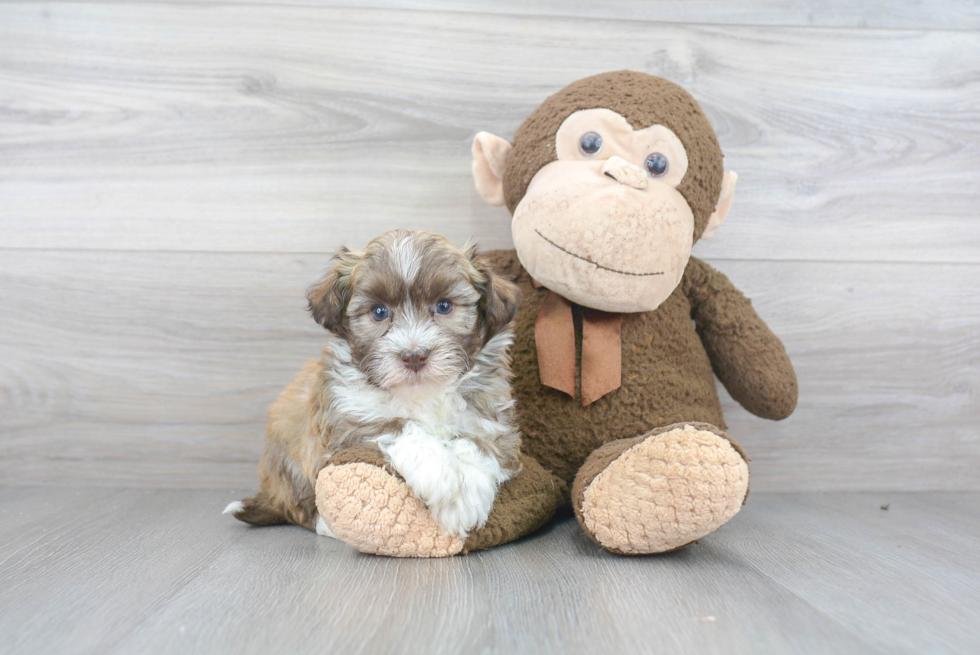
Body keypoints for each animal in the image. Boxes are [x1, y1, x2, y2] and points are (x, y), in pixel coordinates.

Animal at [227, 229, 524, 540]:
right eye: (379, 312)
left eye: (444, 306)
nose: (414, 355)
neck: (422, 394)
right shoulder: (347, 421)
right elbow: (398, 426)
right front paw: (440, 475)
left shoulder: (490, 414)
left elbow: (477, 444)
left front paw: (466, 497)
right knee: (305, 509)